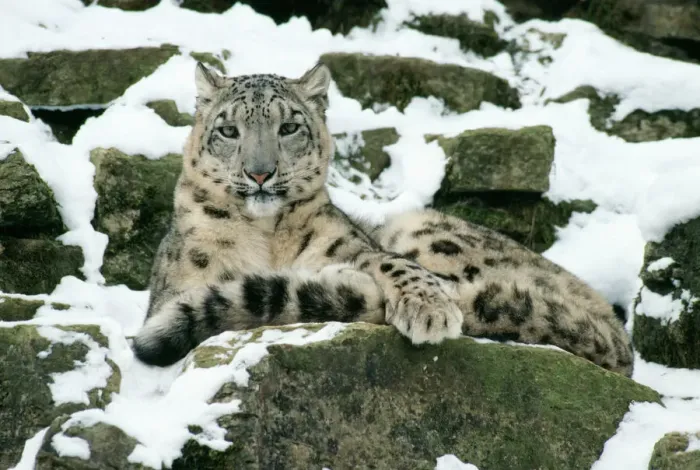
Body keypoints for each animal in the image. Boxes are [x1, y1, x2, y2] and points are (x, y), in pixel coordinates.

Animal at [132, 61, 633, 377]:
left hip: (420, 228)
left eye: (289, 127)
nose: (259, 172)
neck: (267, 234)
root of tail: (619, 336)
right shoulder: (177, 291)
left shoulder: (354, 245)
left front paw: (429, 308)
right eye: (228, 130)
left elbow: (391, 263)